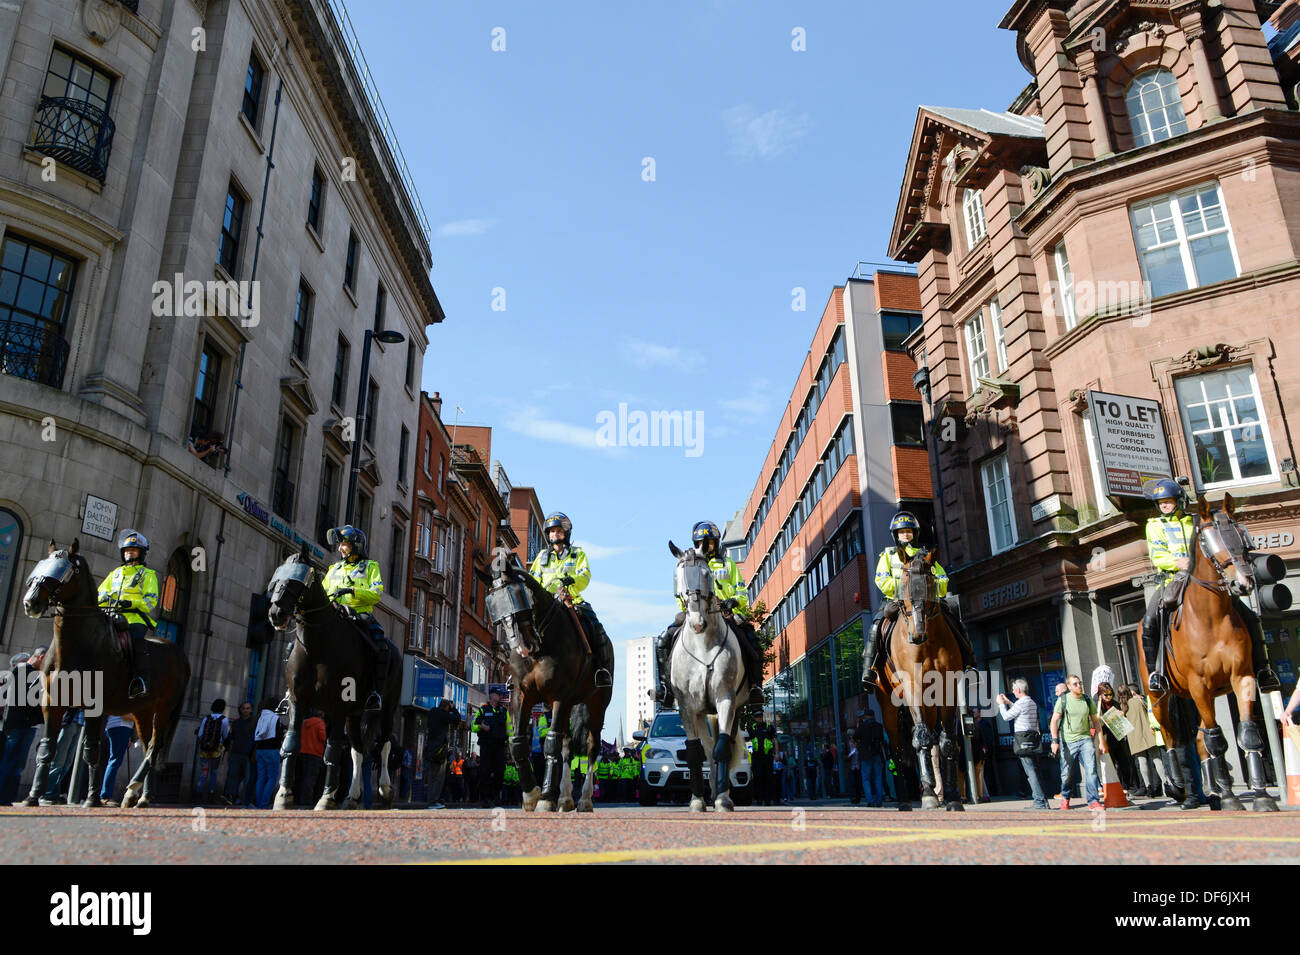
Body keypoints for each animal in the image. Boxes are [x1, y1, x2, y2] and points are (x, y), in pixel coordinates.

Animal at [20, 540, 189, 810]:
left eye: (65, 570)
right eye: (42, 565)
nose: (31, 602)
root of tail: (179, 654)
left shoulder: (94, 706)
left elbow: (91, 750)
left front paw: (91, 798)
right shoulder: (52, 704)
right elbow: (46, 749)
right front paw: (33, 796)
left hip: (164, 709)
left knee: (154, 747)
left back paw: (133, 787)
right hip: (143, 711)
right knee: (147, 746)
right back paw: (142, 796)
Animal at [486, 556, 611, 810]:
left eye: (519, 595)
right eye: (494, 606)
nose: (524, 647)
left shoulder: (559, 695)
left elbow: (551, 743)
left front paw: (544, 797)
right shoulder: (522, 695)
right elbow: (517, 743)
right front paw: (531, 794)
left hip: (597, 706)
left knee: (592, 748)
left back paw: (584, 799)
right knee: (567, 747)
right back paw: (565, 798)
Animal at [665, 540, 748, 810]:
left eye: (707, 574)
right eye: (678, 577)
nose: (697, 622)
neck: (703, 643)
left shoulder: (726, 698)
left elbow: (722, 747)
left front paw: (723, 799)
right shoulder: (687, 706)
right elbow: (694, 751)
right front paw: (697, 800)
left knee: (721, 746)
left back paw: (722, 793)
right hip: (702, 713)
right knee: (708, 749)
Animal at [868, 548, 972, 810]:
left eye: (930, 582)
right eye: (904, 582)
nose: (916, 634)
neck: (929, 641)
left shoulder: (947, 690)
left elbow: (947, 741)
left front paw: (952, 798)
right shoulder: (912, 687)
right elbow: (921, 736)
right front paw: (928, 796)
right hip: (889, 707)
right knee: (897, 750)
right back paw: (906, 801)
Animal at [1138, 496, 1279, 810]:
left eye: (1240, 533)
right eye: (1208, 538)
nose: (1244, 582)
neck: (1212, 618)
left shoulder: (1242, 677)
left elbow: (1247, 734)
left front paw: (1261, 795)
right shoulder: (1198, 684)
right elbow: (1215, 740)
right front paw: (1230, 798)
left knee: (1200, 740)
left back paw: (1211, 792)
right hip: (1158, 696)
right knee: (1170, 737)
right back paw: (1178, 788)